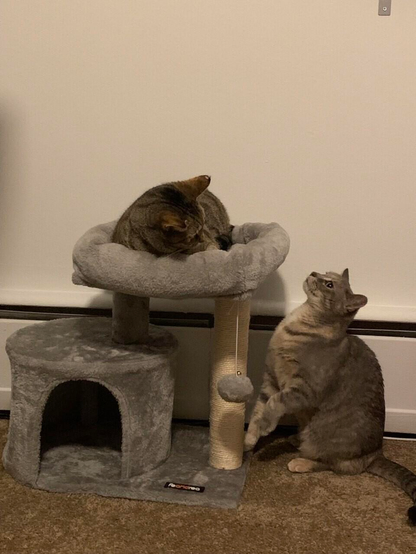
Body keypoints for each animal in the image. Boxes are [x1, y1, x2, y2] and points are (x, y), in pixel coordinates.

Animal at [245, 270, 416, 524]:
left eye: (329, 284)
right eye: (327, 274)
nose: (313, 273)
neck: (294, 326)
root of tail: (376, 454)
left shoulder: (303, 390)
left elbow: (274, 405)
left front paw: (266, 426)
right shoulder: (270, 381)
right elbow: (258, 412)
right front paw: (248, 439)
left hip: (320, 436)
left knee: (335, 465)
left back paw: (301, 461)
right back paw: (294, 439)